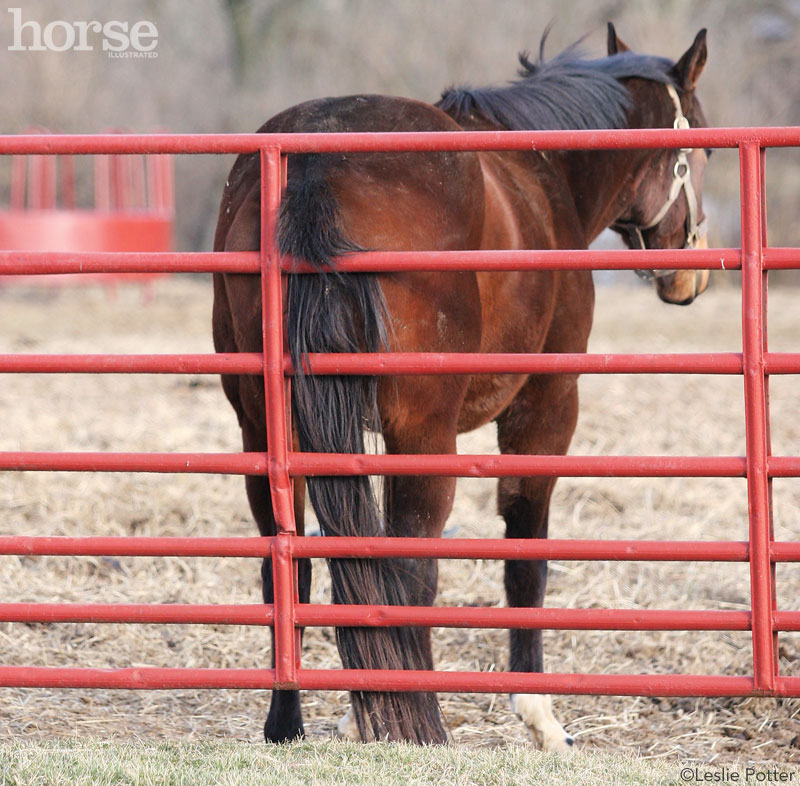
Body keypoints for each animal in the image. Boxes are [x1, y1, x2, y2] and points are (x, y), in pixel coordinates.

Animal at [209, 24, 708, 748]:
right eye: (699, 149)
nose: (689, 275)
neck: (544, 174)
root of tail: (315, 162)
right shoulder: (546, 408)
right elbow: (526, 555)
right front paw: (540, 717)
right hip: (422, 433)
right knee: (411, 571)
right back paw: (421, 723)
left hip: (265, 429)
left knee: (289, 564)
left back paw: (288, 721)